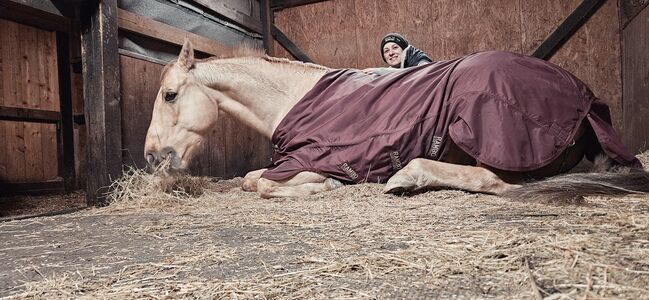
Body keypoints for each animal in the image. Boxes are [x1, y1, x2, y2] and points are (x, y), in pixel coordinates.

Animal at [146, 39, 648, 203]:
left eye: (171, 95)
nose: (152, 157)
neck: (291, 98)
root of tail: (583, 98)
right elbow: (251, 179)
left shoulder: (309, 160)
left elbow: (262, 185)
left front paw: (326, 187)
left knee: (491, 179)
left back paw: (406, 178)